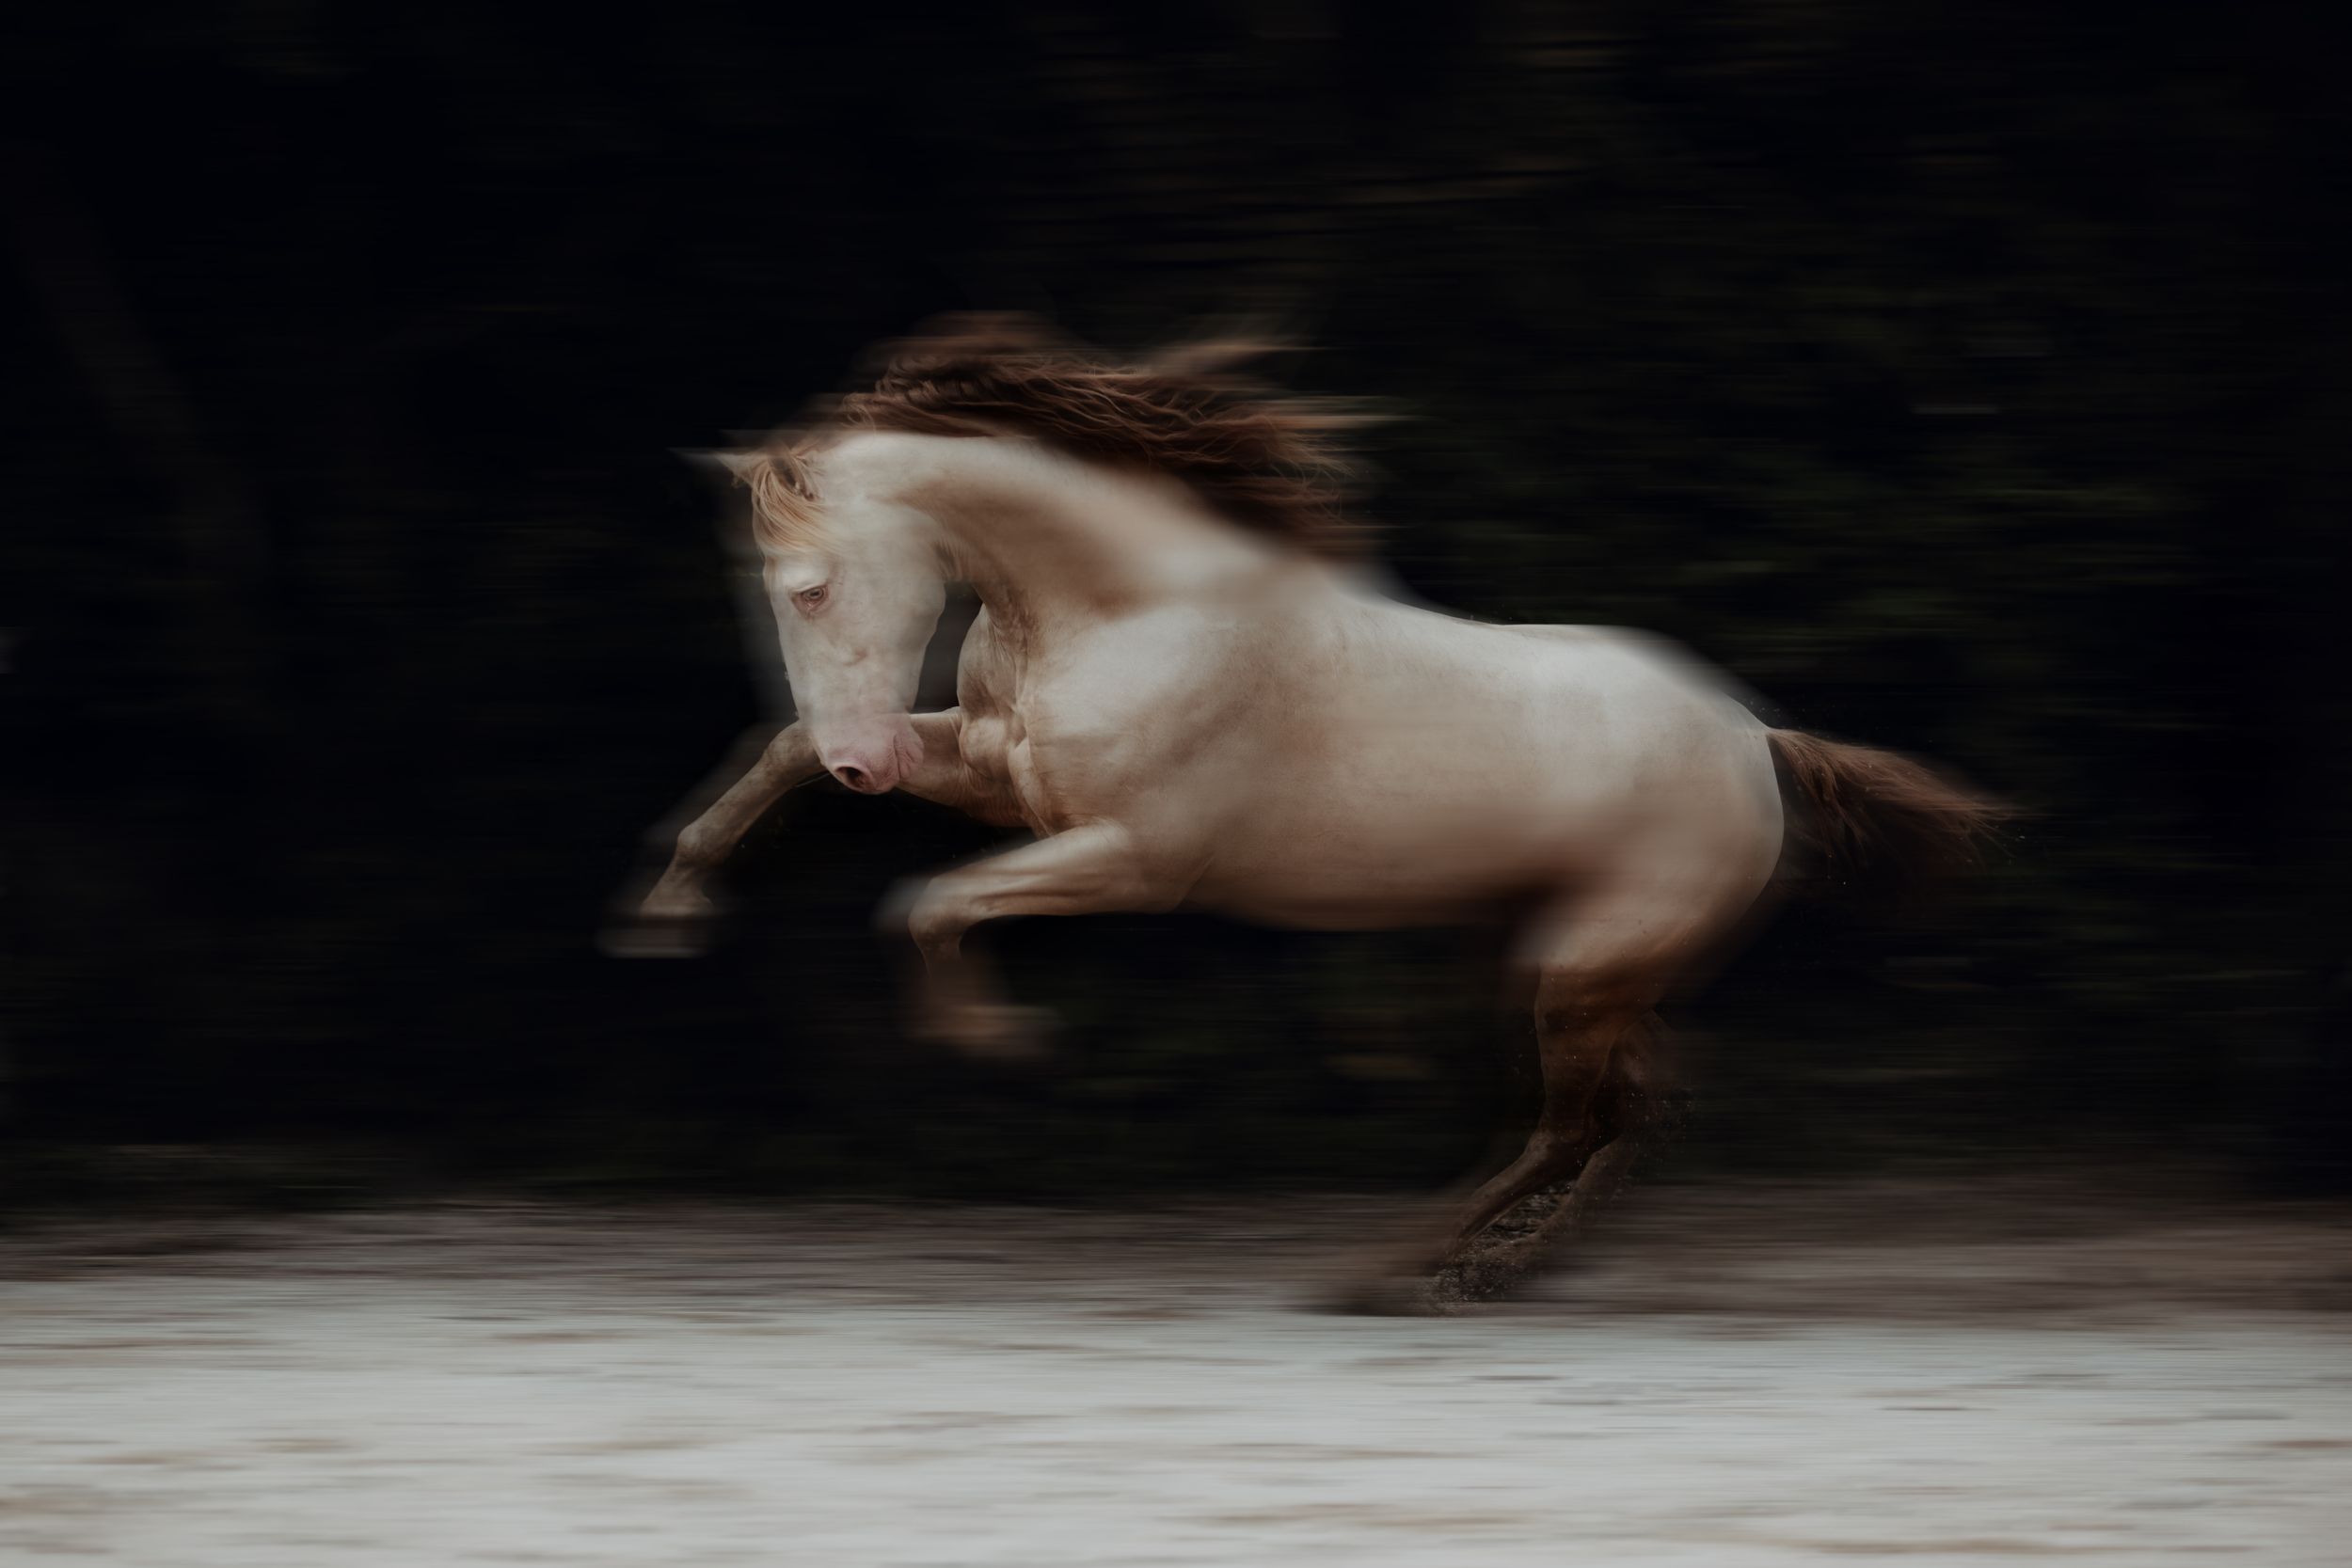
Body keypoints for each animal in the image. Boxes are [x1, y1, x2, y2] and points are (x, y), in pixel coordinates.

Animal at [610, 317, 2000, 1310]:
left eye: (809, 583)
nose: (869, 766)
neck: (1123, 609)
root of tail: (1757, 741)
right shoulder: (1004, 778)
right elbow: (781, 758)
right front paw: (665, 913)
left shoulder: (1132, 856)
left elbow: (932, 902)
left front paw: (997, 1044)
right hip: (1584, 962)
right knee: (1640, 1109)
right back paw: (1498, 1268)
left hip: (1579, 963)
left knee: (1574, 1119)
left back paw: (1394, 1270)